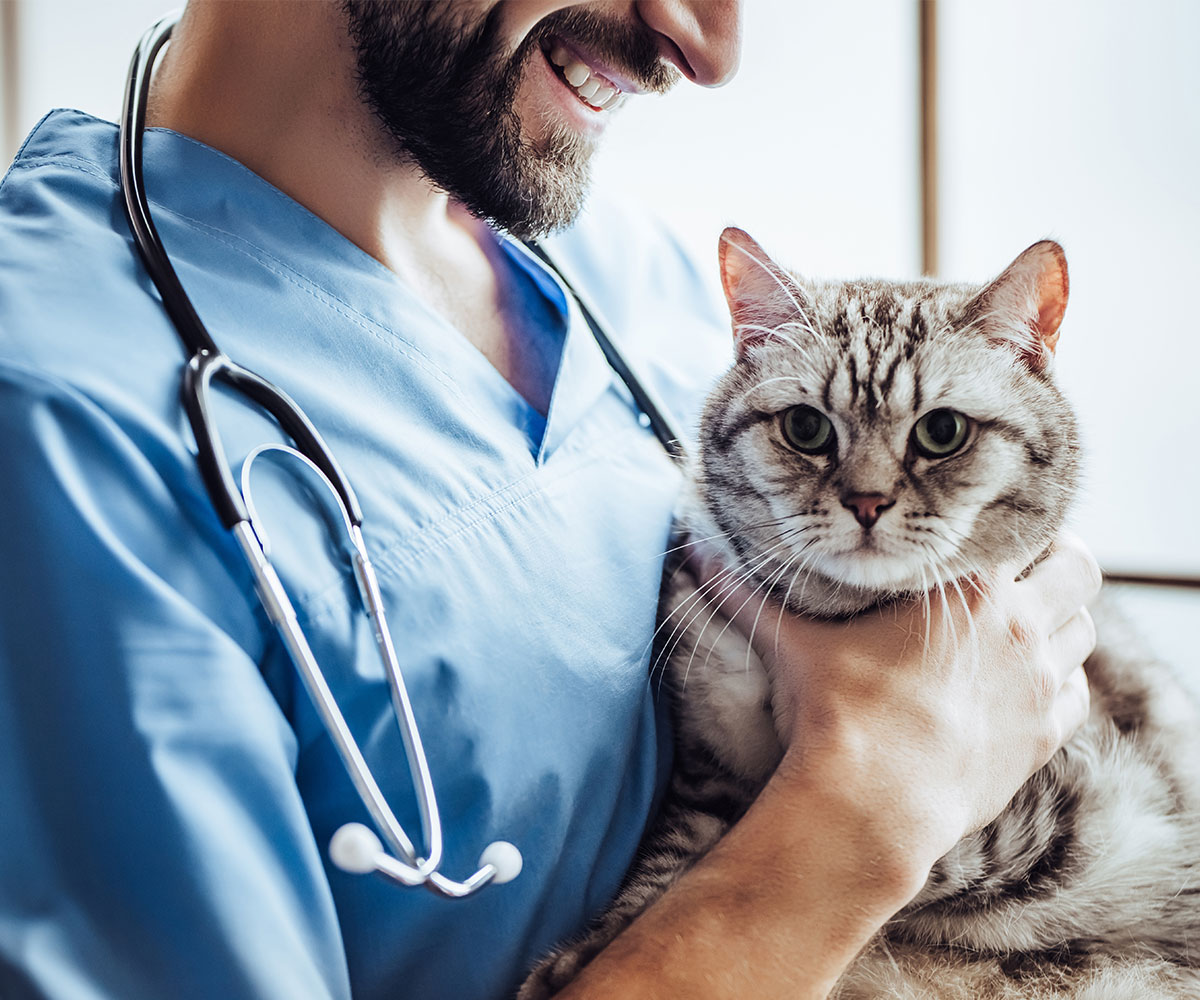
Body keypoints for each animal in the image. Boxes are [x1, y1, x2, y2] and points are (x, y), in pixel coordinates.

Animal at [518, 230, 1200, 993]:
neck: (836, 616)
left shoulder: (1072, 815)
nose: (867, 502)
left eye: (942, 431)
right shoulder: (703, 768)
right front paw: (591, 950)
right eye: (806, 427)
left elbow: (920, 864)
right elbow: (673, 858)